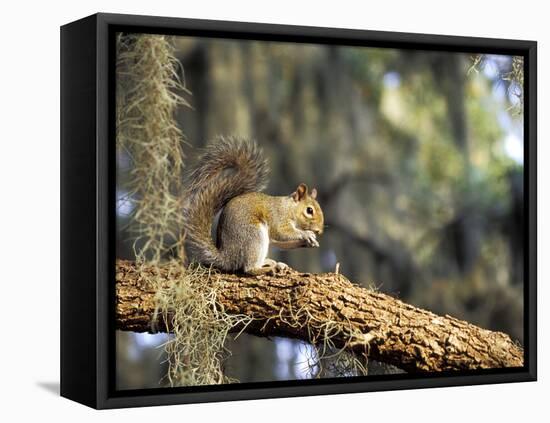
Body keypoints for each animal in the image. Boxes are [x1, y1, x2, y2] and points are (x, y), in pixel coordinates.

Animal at [183, 136, 326, 274]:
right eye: (309, 210)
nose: (319, 231)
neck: (289, 208)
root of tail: (227, 257)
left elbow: (281, 242)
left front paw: (309, 242)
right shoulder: (278, 218)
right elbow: (281, 233)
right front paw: (307, 234)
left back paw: (272, 263)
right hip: (254, 236)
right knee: (249, 268)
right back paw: (268, 269)